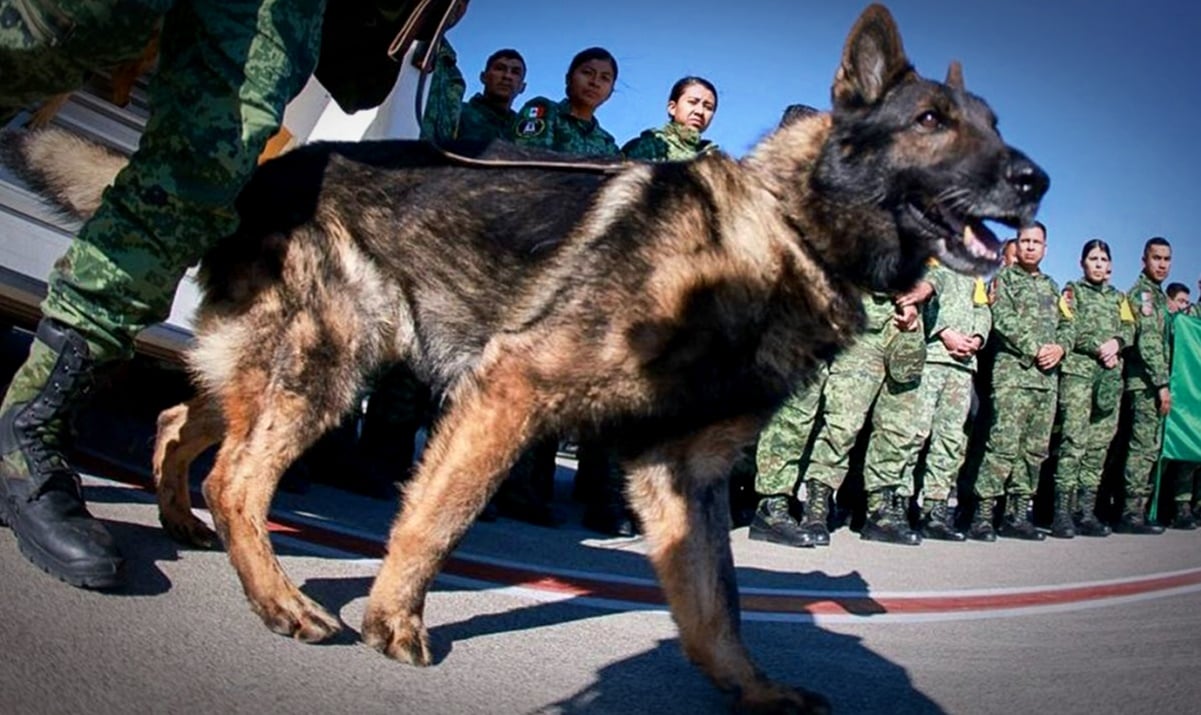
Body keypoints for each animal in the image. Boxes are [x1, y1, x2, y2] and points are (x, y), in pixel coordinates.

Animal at [4, 4, 1042, 711]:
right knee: (237, 476)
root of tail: (261, 173)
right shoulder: (512, 390)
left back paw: (182, 520)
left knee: (183, 418)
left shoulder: (681, 476)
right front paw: (394, 621)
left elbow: (717, 600)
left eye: (995, 124)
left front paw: (750, 687)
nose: (1034, 179)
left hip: (290, 365)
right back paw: (277, 599)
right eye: (932, 122)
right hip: (332, 363)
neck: (782, 231)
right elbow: (437, 518)